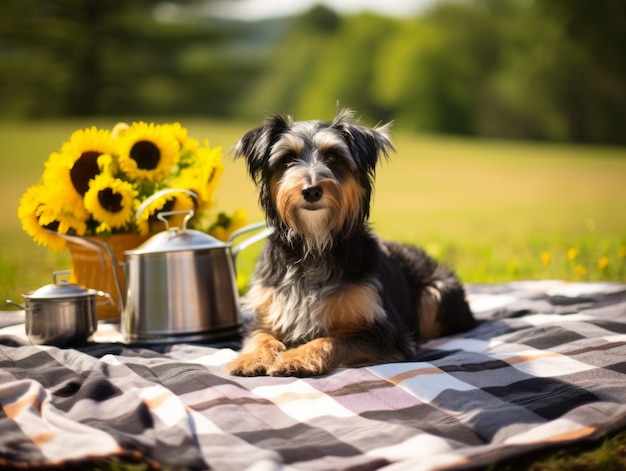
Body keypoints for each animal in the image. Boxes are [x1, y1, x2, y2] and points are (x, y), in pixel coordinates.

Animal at [225, 109, 472, 378]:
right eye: (288, 159)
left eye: (333, 157)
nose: (311, 191)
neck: (315, 243)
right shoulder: (267, 313)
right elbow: (260, 336)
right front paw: (250, 358)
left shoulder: (385, 332)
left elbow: (332, 340)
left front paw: (295, 358)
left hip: (436, 293)